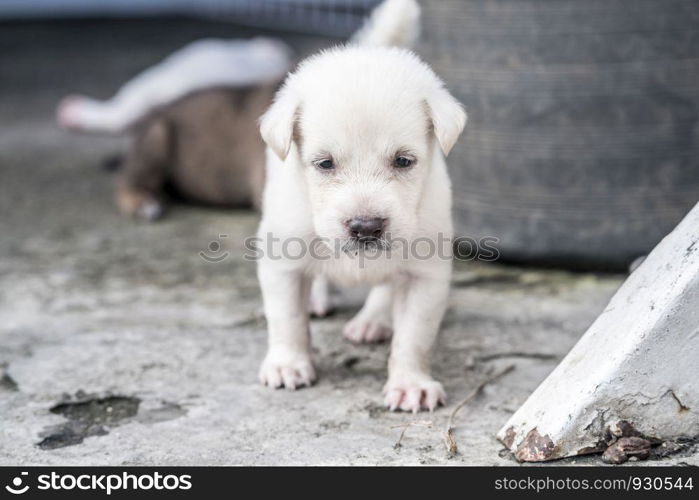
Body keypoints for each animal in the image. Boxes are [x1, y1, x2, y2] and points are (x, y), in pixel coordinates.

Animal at [256, 0, 464, 414]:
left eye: (403, 161)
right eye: (324, 163)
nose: (366, 227)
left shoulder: (425, 275)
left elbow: (413, 337)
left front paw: (410, 384)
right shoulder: (281, 260)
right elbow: (287, 318)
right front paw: (288, 363)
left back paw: (372, 321)